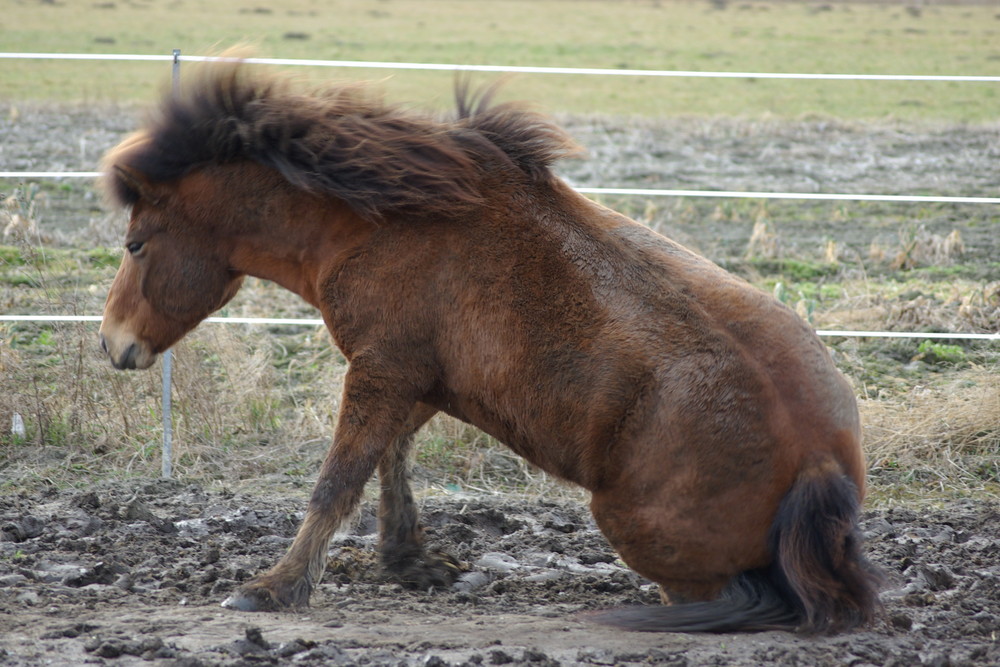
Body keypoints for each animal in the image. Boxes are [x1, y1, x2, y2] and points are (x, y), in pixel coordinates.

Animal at [101, 60, 880, 636]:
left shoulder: (383, 370)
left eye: (135, 243)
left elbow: (339, 479)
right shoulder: (414, 379)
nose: (113, 343)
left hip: (641, 534)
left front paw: (273, 589)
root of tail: (819, 464)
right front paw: (411, 561)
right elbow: (391, 459)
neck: (385, 226)